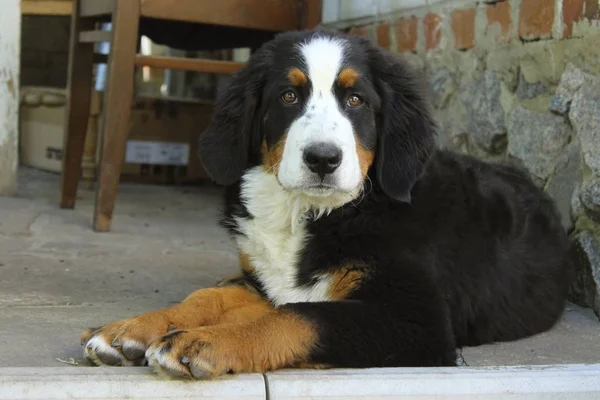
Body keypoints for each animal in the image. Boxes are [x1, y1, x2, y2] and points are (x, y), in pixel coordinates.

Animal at [81, 29, 572, 380]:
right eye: (289, 96)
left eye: (355, 99)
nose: (322, 158)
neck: (311, 213)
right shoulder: (263, 280)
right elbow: (210, 295)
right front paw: (131, 329)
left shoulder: (420, 322)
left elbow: (302, 317)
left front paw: (198, 343)